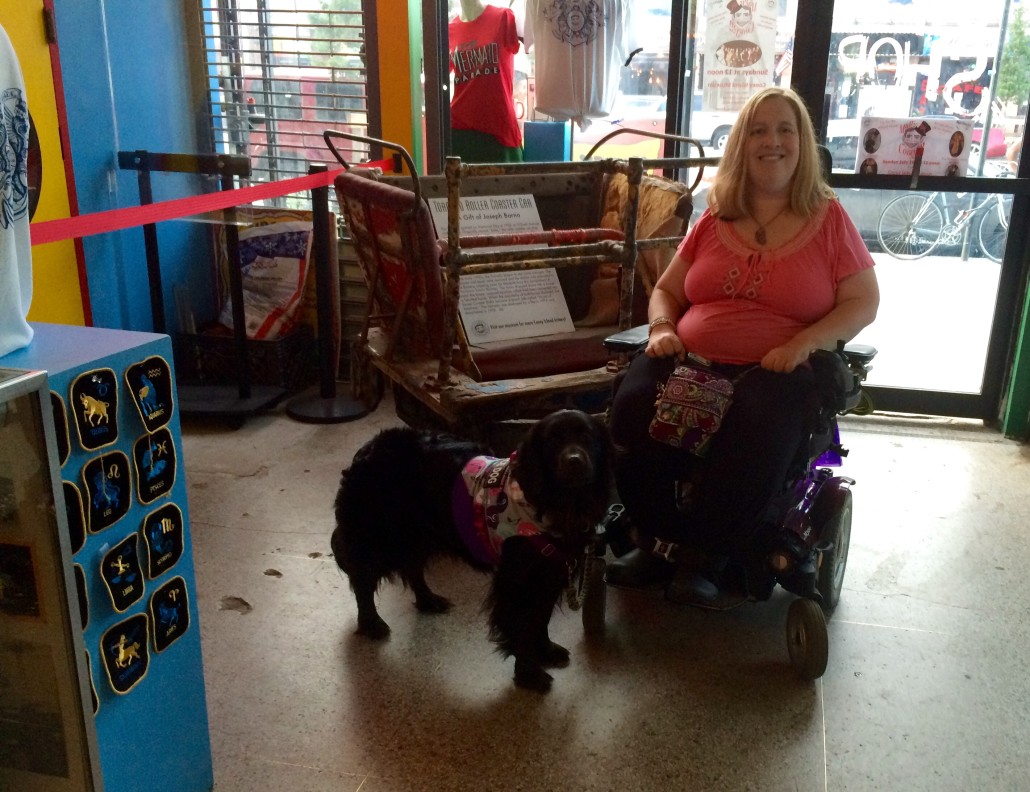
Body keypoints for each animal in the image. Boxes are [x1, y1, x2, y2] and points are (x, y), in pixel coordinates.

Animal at [333, 411, 609, 687]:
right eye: (552, 440)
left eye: (587, 436)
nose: (574, 461)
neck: (557, 506)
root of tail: (368, 448)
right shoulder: (517, 582)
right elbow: (522, 627)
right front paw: (529, 673)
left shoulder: (551, 574)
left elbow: (540, 618)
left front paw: (546, 650)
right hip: (379, 539)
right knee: (363, 580)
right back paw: (371, 623)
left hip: (417, 535)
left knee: (412, 568)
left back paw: (428, 600)